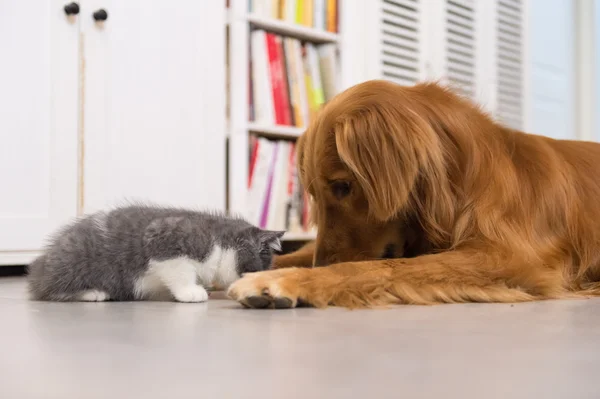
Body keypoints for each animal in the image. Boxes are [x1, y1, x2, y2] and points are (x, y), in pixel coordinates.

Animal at [25, 206, 284, 304]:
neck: (220, 241)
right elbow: (178, 269)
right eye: (256, 271)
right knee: (47, 289)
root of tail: (41, 263)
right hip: (75, 263)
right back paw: (93, 293)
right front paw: (190, 291)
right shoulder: (164, 237)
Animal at [226, 79, 600, 310]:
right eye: (314, 194)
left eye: (344, 187)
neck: (459, 183)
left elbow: (379, 268)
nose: (322, 264)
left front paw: (282, 280)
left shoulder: (510, 257)